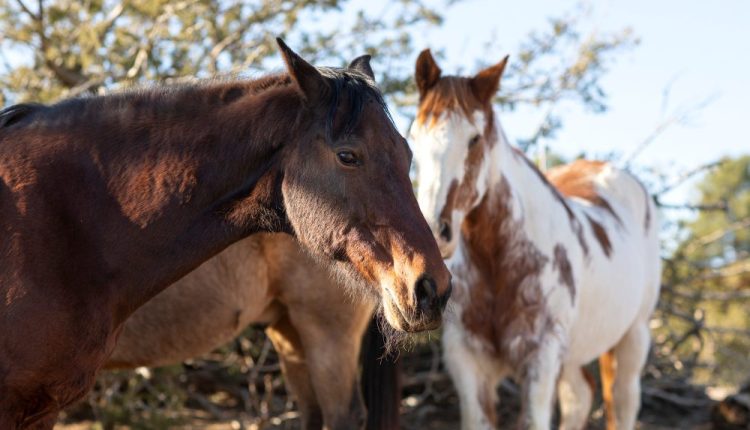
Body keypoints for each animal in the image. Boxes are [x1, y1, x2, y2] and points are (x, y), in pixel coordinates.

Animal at [412, 51, 664, 430]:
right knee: (580, 396)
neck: (500, 264)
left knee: (622, 404)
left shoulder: (540, 362)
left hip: (633, 337)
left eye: (474, 139)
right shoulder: (468, 363)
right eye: (414, 136)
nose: (433, 230)